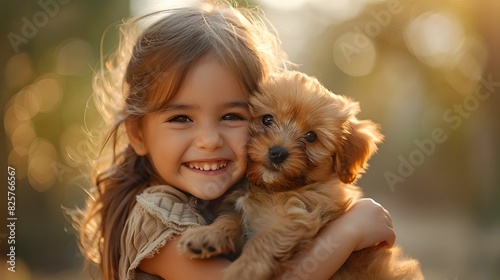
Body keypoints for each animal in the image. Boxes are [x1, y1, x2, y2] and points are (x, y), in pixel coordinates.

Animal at [178, 71, 424, 278]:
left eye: (311, 136)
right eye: (267, 119)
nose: (277, 152)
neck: (271, 189)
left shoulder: (301, 216)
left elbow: (265, 238)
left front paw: (244, 269)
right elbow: (230, 218)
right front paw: (207, 235)